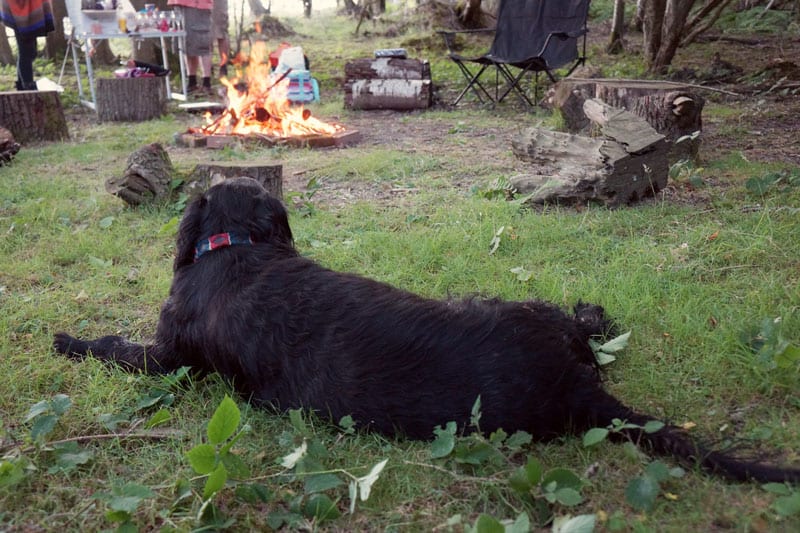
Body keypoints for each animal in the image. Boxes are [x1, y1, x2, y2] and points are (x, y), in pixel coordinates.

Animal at [56, 176, 800, 482]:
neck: (233, 244)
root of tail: (574, 391)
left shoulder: (168, 360)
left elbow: (115, 347)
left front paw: (68, 341)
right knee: (590, 333)